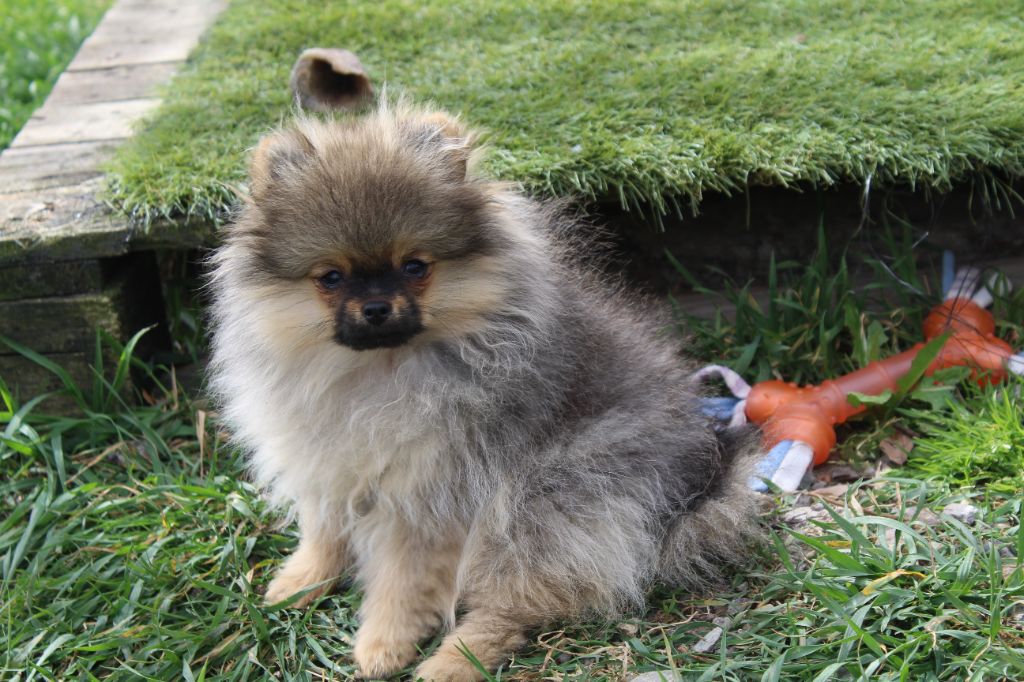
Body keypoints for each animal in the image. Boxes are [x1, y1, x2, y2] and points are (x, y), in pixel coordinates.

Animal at [209, 102, 761, 679]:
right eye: (331, 278)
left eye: (415, 266)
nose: (377, 307)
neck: (378, 371)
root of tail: (695, 490)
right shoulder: (328, 461)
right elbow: (324, 528)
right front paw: (302, 580)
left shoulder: (430, 494)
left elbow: (405, 577)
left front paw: (383, 642)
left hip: (549, 496)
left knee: (516, 604)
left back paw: (452, 661)